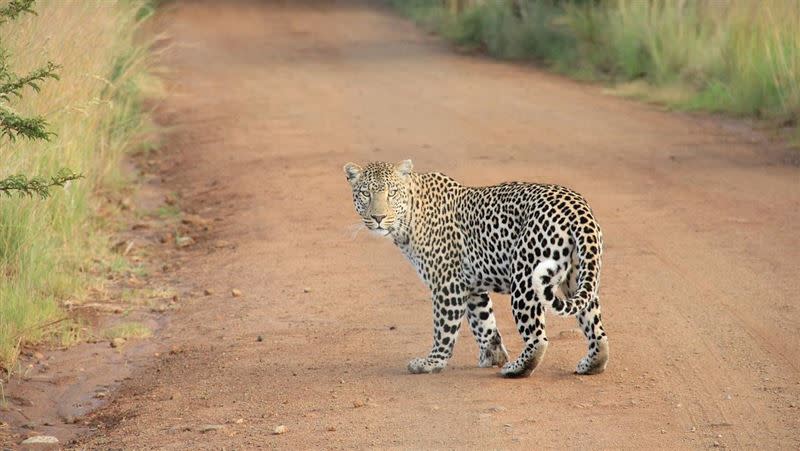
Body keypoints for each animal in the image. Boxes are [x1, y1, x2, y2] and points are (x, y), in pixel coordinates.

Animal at [340, 160, 608, 378]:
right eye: (365, 193)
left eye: (392, 193)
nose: (378, 217)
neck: (410, 217)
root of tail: (577, 208)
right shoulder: (471, 286)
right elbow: (484, 323)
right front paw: (492, 356)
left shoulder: (447, 284)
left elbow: (444, 328)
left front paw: (431, 363)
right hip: (578, 276)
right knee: (596, 328)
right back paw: (592, 364)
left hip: (525, 278)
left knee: (538, 338)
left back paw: (516, 369)